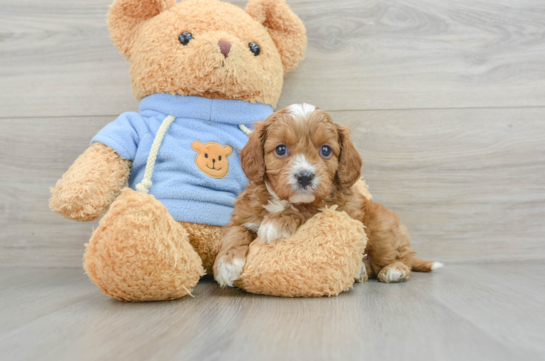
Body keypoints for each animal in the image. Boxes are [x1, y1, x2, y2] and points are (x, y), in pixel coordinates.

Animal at [212, 102, 442, 286]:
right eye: (280, 149)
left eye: (325, 150)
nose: (305, 177)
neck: (283, 200)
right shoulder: (243, 215)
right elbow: (235, 233)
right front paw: (226, 264)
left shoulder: (338, 208)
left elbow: (309, 209)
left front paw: (276, 223)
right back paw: (361, 271)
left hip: (382, 230)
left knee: (403, 256)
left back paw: (394, 270)